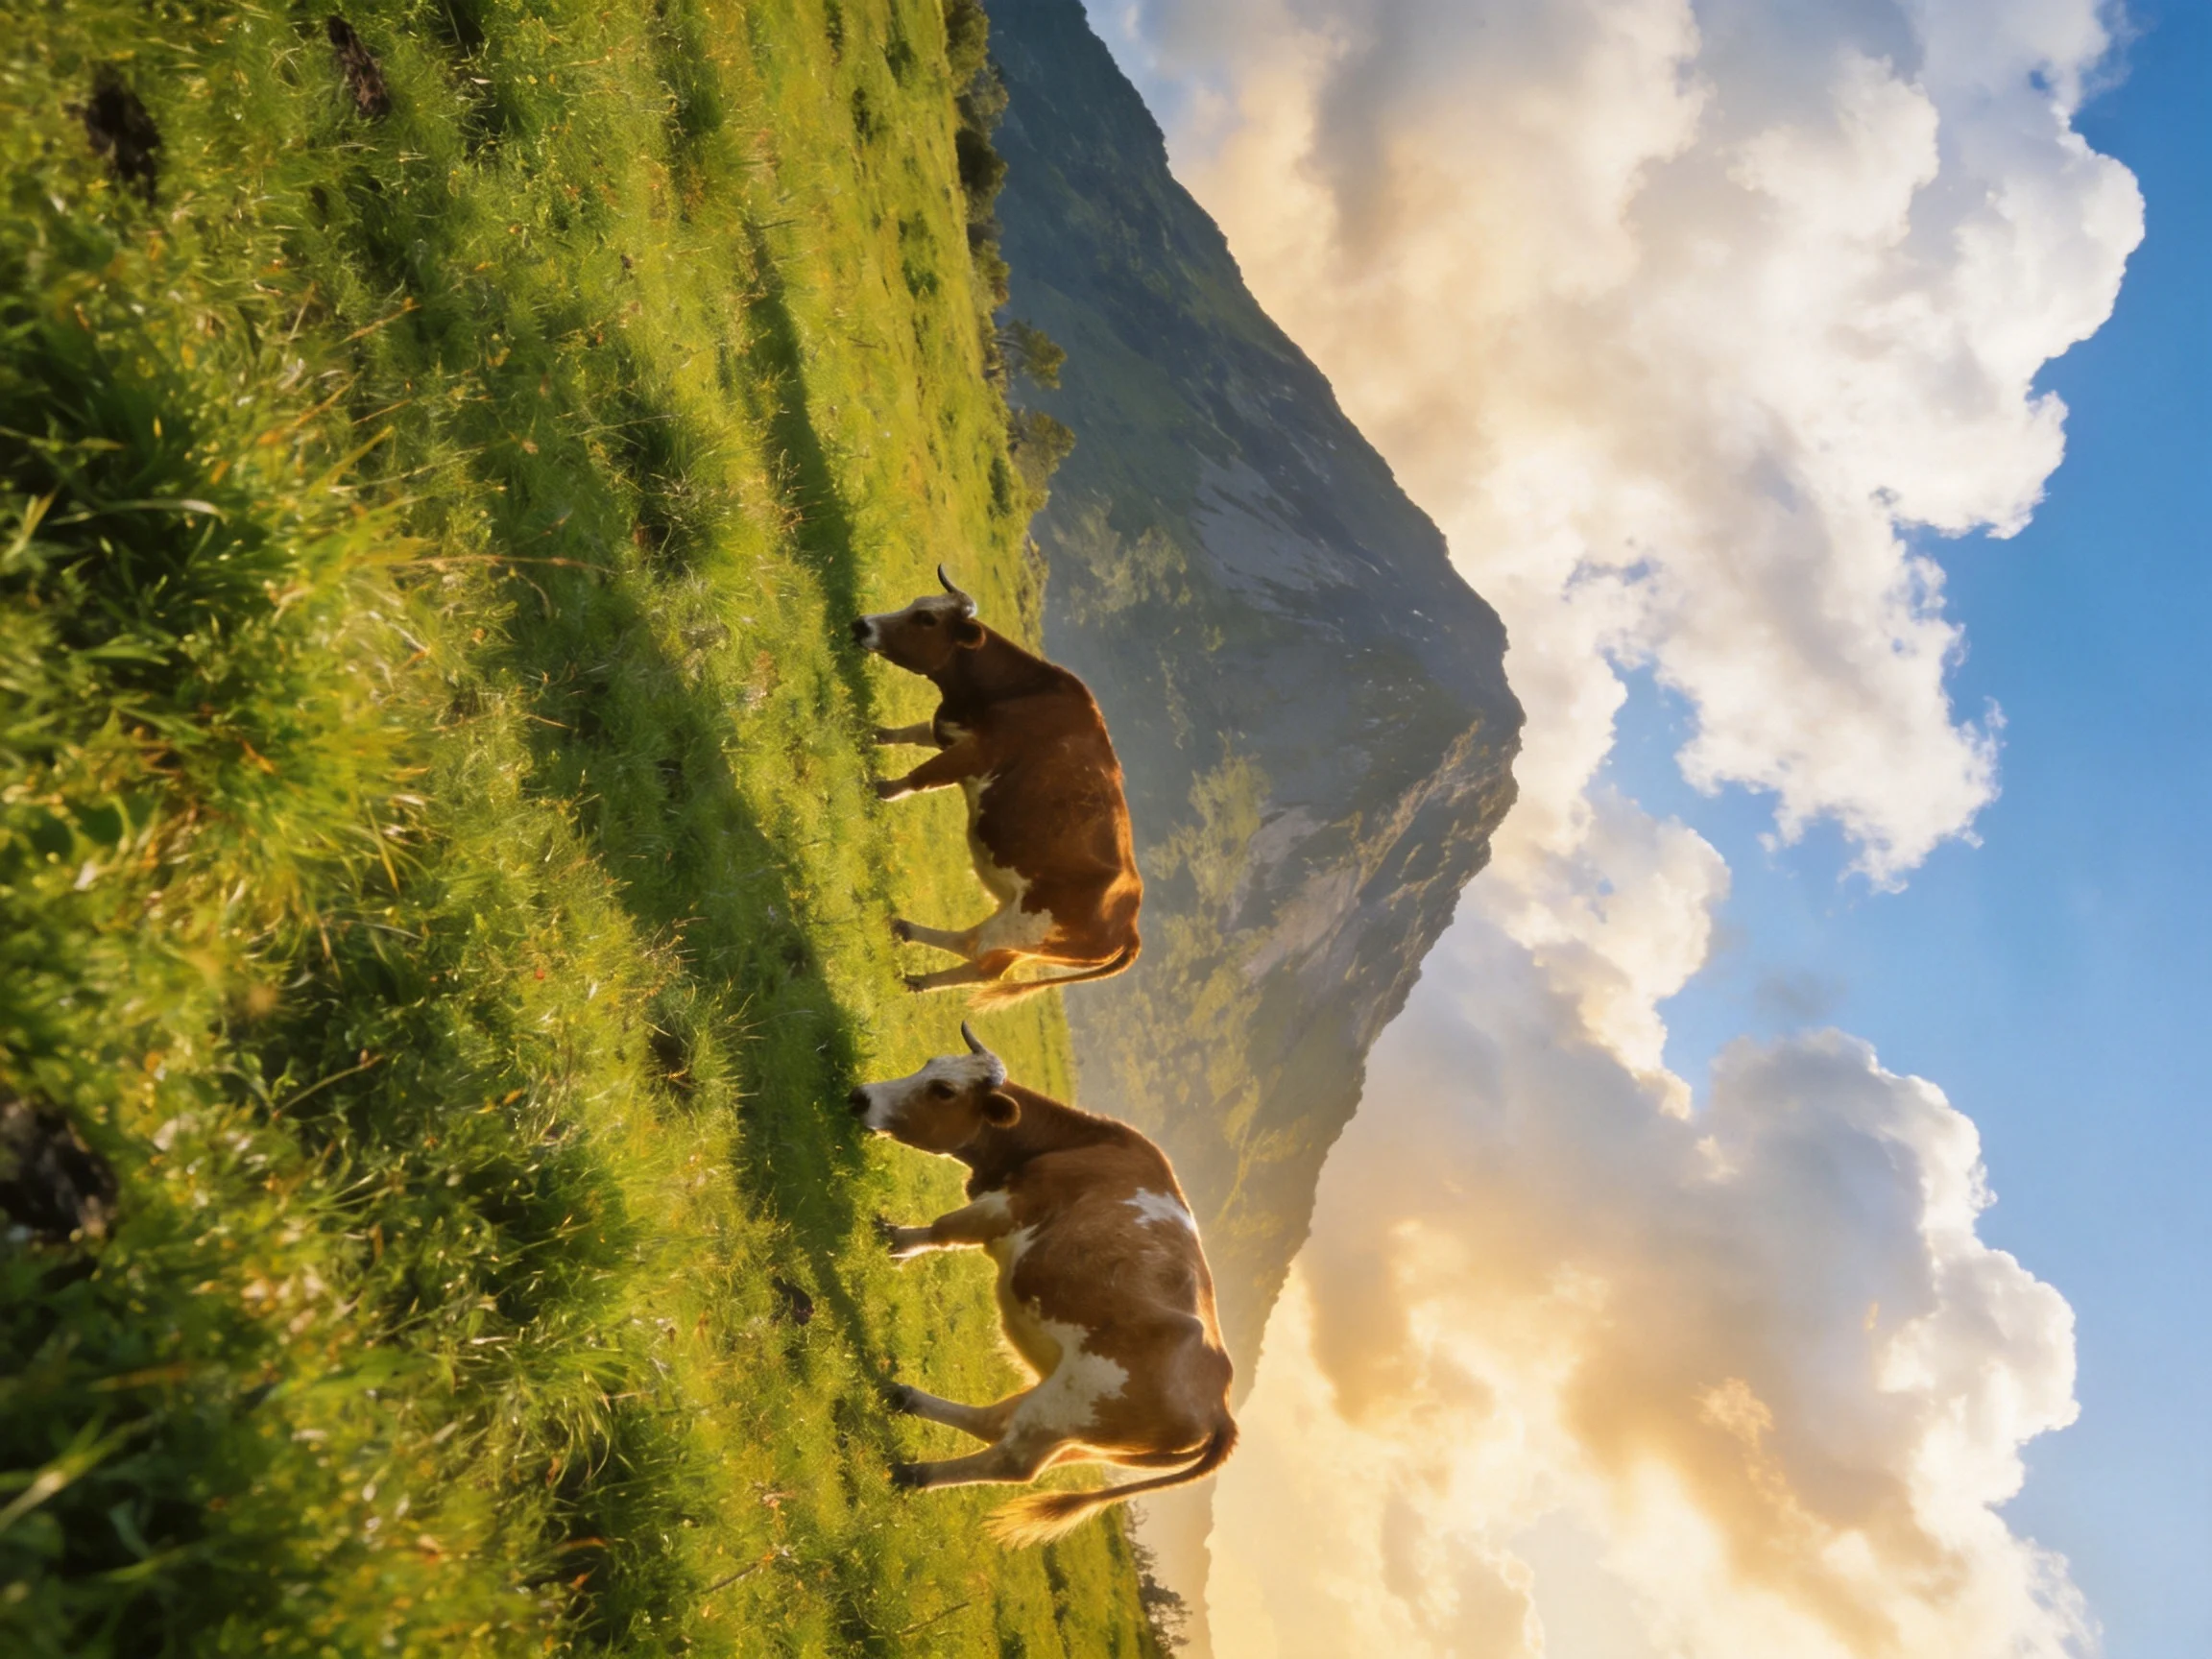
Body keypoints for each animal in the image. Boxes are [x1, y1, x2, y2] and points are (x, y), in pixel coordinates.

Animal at [850, 1023, 1237, 1546]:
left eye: (943, 1091)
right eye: (931, 1064)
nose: (861, 1097)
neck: (1072, 1146)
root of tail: (1219, 1406)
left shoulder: (1006, 1207)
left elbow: (945, 1229)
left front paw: (894, 1241)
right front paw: (896, 1243)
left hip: (1069, 1406)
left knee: (1013, 1461)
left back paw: (917, 1473)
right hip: (1083, 1435)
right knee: (997, 1422)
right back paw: (907, 1399)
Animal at [852, 567, 1140, 1007]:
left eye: (926, 620)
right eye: (920, 604)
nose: (861, 625)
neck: (1016, 691)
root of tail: (1131, 926)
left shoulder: (974, 754)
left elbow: (920, 777)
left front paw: (877, 787)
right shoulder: (952, 732)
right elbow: (909, 734)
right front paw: (874, 732)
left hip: (1022, 925)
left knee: (974, 949)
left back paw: (905, 930)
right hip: (1020, 936)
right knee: (985, 966)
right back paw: (918, 975)